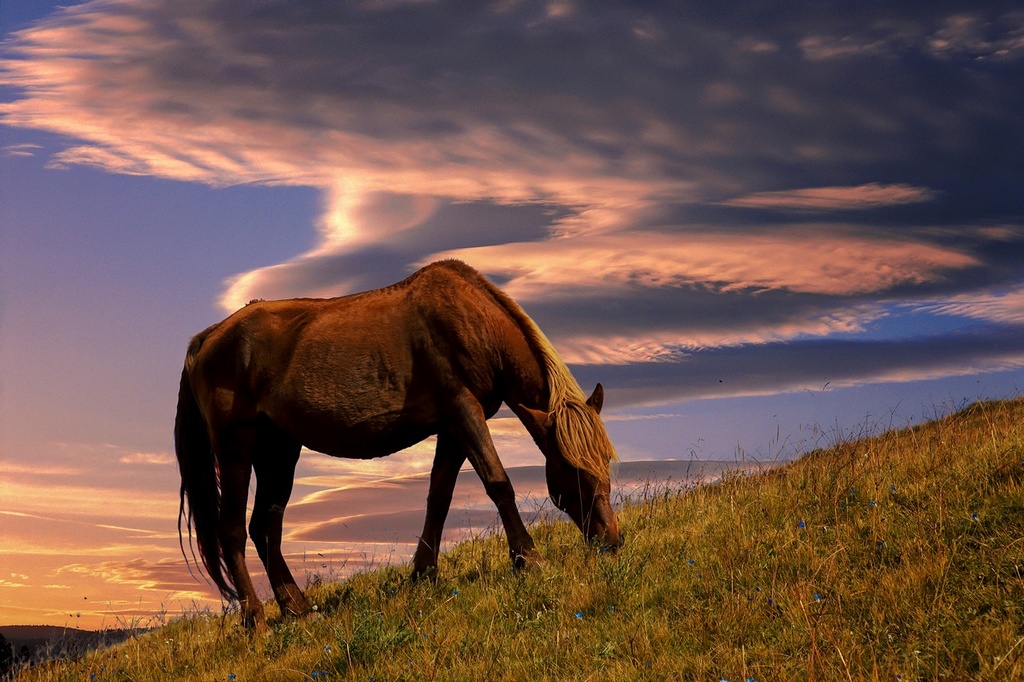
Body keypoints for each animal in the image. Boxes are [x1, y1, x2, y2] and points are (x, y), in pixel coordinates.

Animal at [175, 258, 618, 630]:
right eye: (571, 468)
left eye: (606, 464)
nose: (612, 541)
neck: (475, 321)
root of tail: (206, 338)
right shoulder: (464, 412)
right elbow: (498, 484)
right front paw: (529, 559)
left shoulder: (452, 428)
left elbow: (438, 498)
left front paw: (423, 574)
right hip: (236, 447)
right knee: (232, 530)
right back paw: (256, 620)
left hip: (280, 450)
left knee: (266, 526)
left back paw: (297, 609)